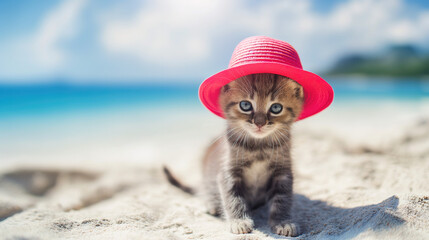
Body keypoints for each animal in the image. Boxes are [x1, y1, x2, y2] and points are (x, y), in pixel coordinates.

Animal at [162, 72, 302, 236]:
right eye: (245, 105)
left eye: (276, 108)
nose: (259, 123)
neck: (259, 146)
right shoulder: (228, 172)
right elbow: (233, 198)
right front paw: (239, 221)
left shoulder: (283, 172)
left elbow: (283, 198)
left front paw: (283, 222)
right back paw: (212, 205)